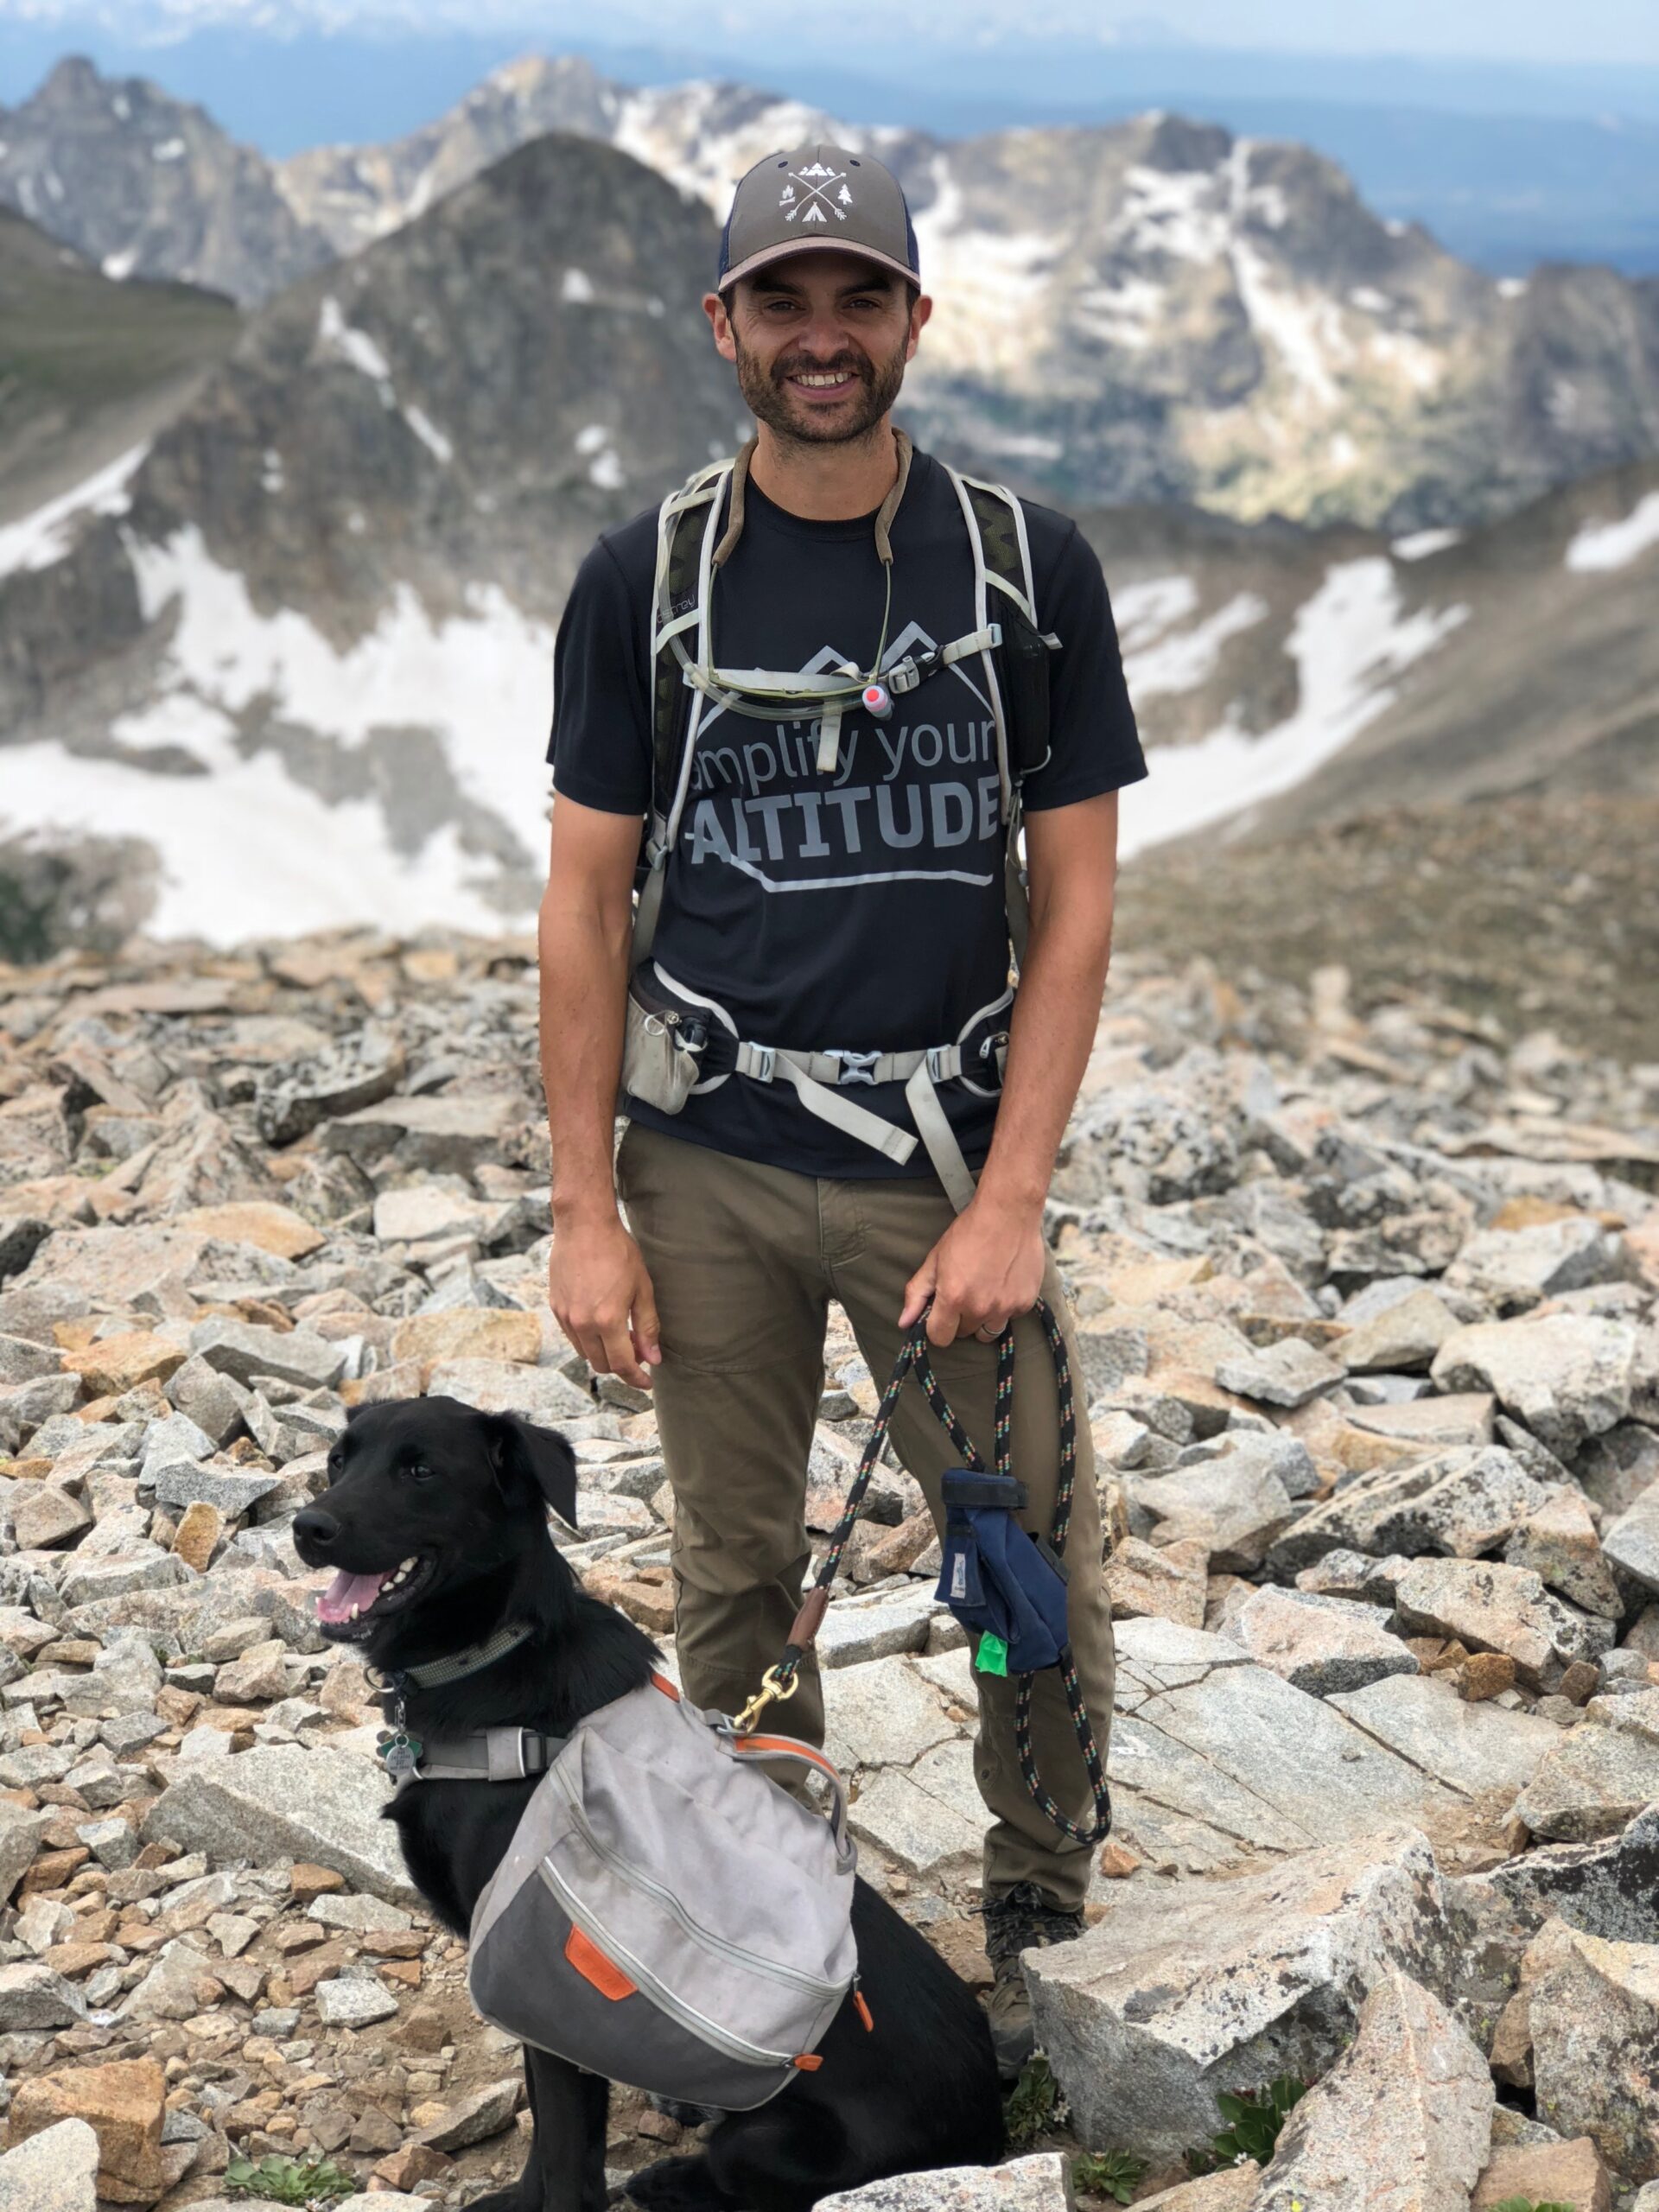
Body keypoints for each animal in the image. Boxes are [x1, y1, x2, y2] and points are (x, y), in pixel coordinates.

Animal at [291, 1397, 1008, 2212]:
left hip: (767, 2141)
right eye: (338, 1461)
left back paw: (669, 2177)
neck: (493, 1658)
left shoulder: (540, 1991)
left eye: (420, 1470)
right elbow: (549, 2139)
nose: (307, 1526)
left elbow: (567, 2154)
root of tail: (993, 2130)